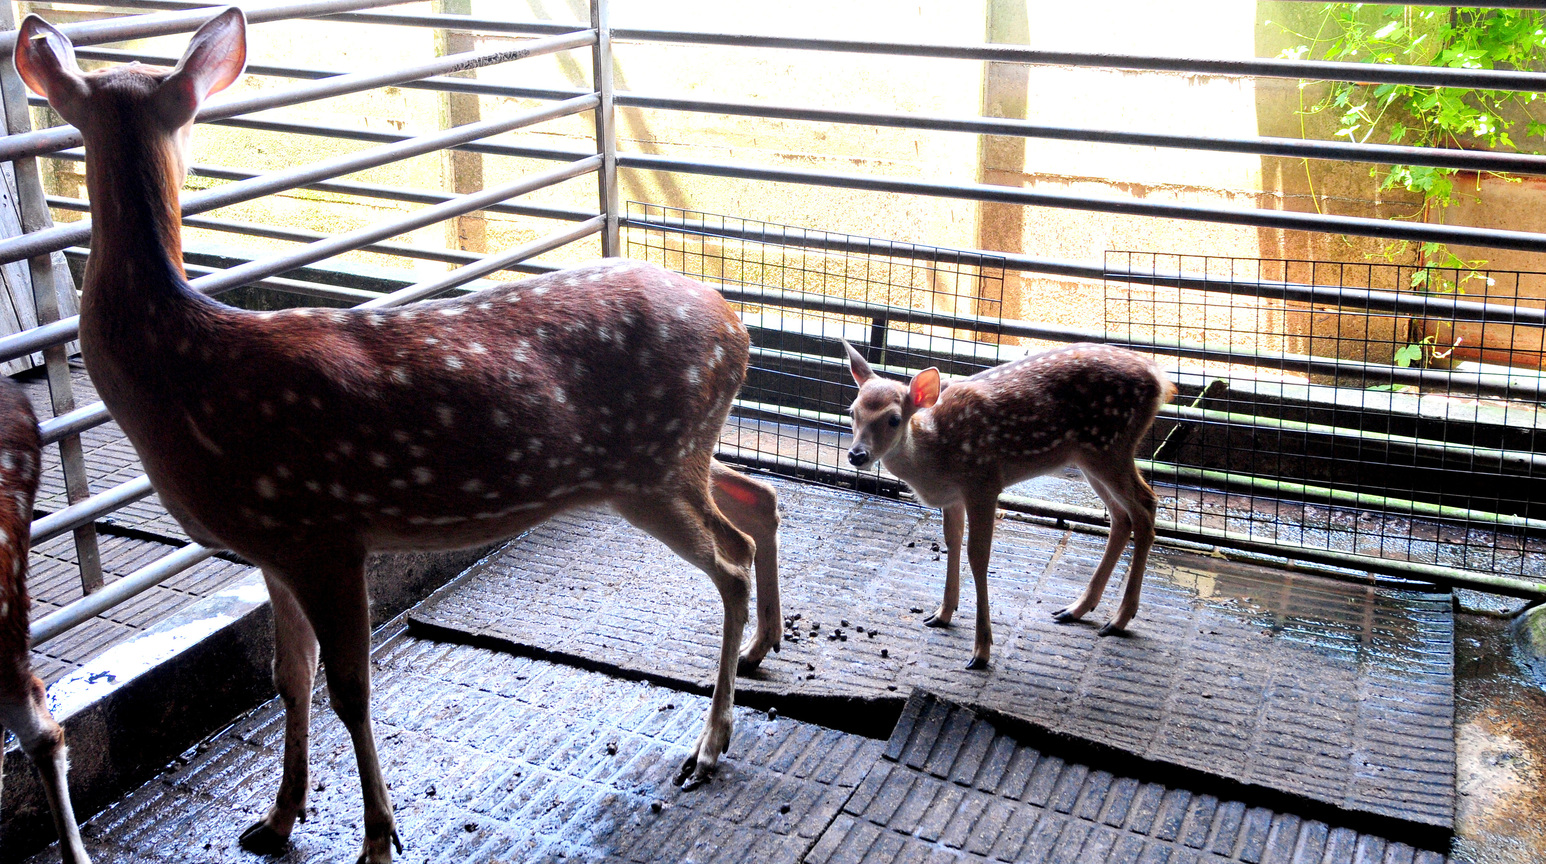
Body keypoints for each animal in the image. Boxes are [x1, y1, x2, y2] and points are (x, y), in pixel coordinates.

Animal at [14, 10, 782, 862]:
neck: (182, 369)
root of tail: (738, 329)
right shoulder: (272, 544)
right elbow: (289, 676)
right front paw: (276, 820)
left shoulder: (323, 532)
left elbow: (350, 689)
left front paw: (379, 836)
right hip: (674, 458)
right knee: (760, 496)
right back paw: (763, 649)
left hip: (653, 466)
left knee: (730, 561)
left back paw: (709, 745)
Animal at [842, 340, 1174, 669]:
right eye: (852, 411)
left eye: (894, 418)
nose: (857, 455)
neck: (934, 455)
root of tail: (1159, 377)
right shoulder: (953, 496)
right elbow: (952, 541)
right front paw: (942, 614)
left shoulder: (983, 482)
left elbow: (978, 556)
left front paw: (981, 650)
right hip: (1089, 456)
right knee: (1121, 516)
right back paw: (1076, 609)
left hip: (1111, 446)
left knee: (1146, 505)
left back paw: (1118, 620)